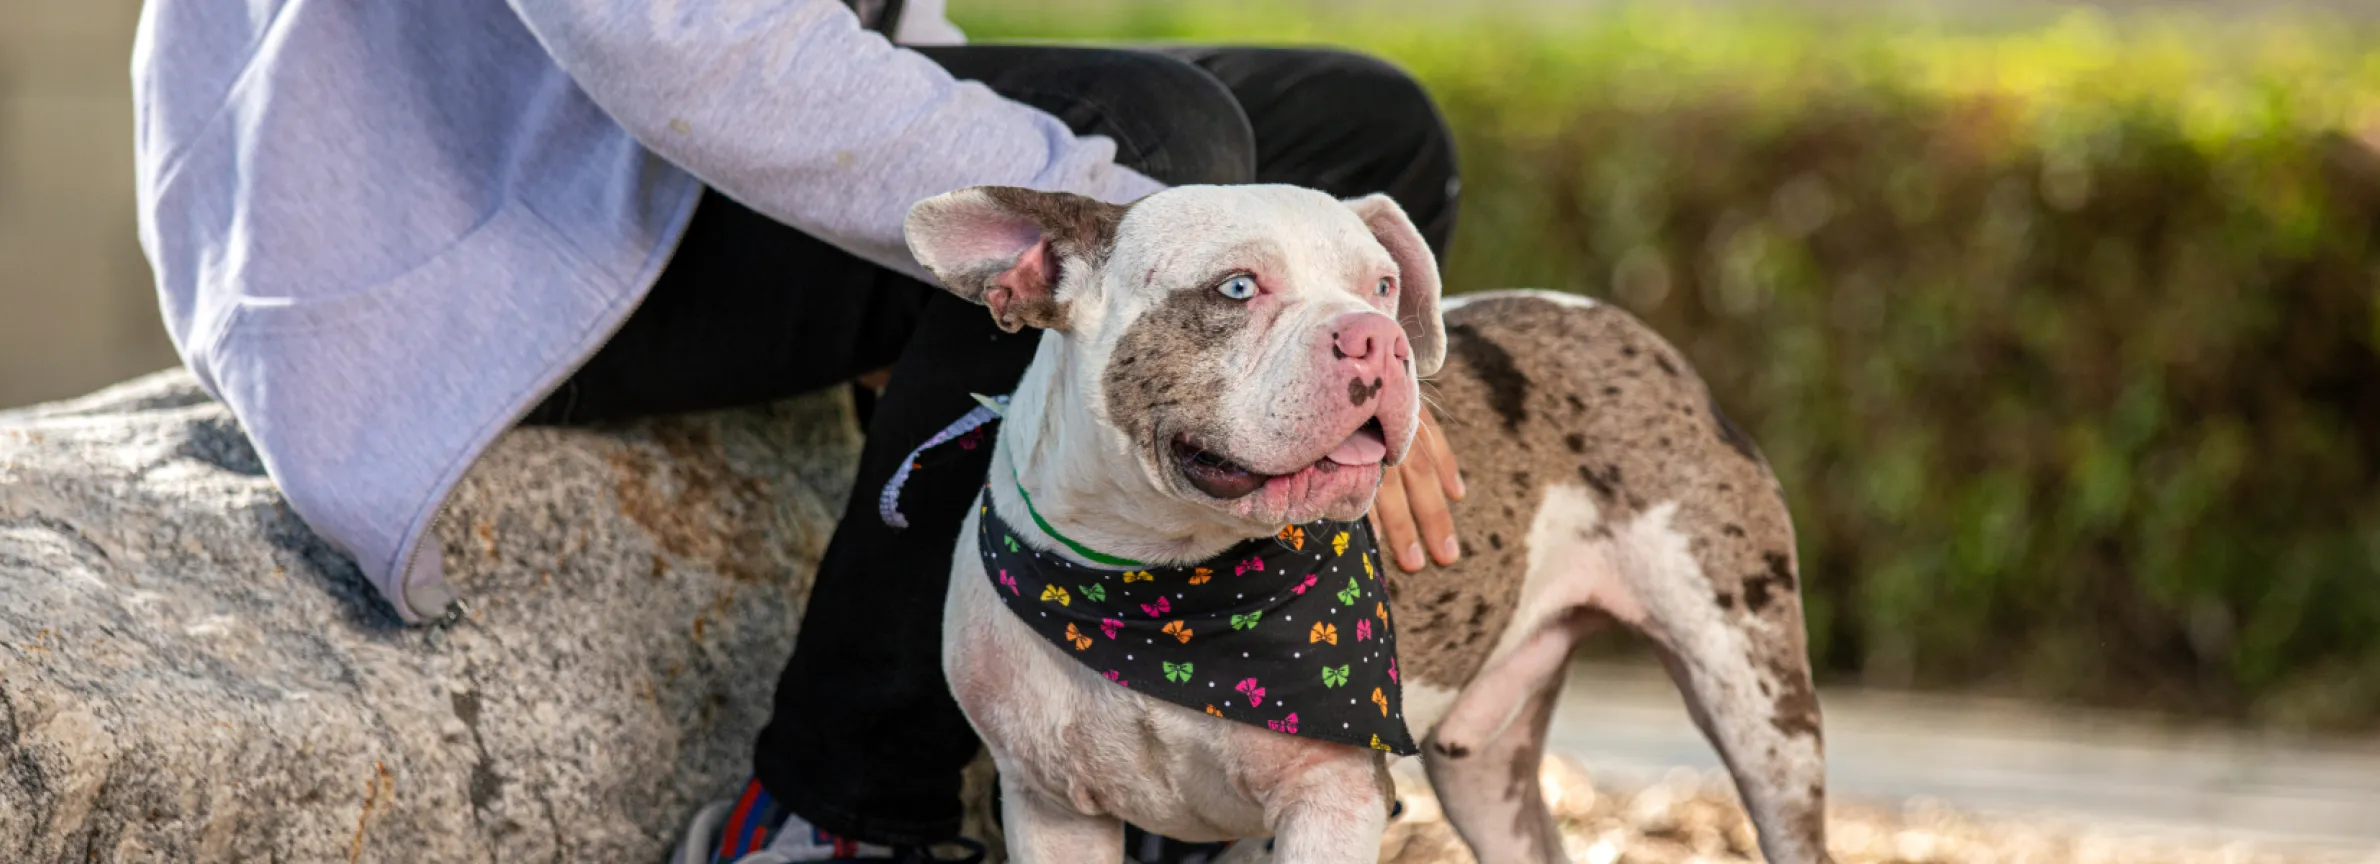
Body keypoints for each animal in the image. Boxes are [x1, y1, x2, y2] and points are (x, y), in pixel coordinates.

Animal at [899, 184, 1827, 864]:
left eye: (1383, 285)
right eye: (1237, 287)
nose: (1378, 335)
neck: (1157, 585)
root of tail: (1615, 319)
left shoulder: (1333, 800)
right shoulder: (1051, 805)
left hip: (1758, 703)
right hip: (1485, 773)